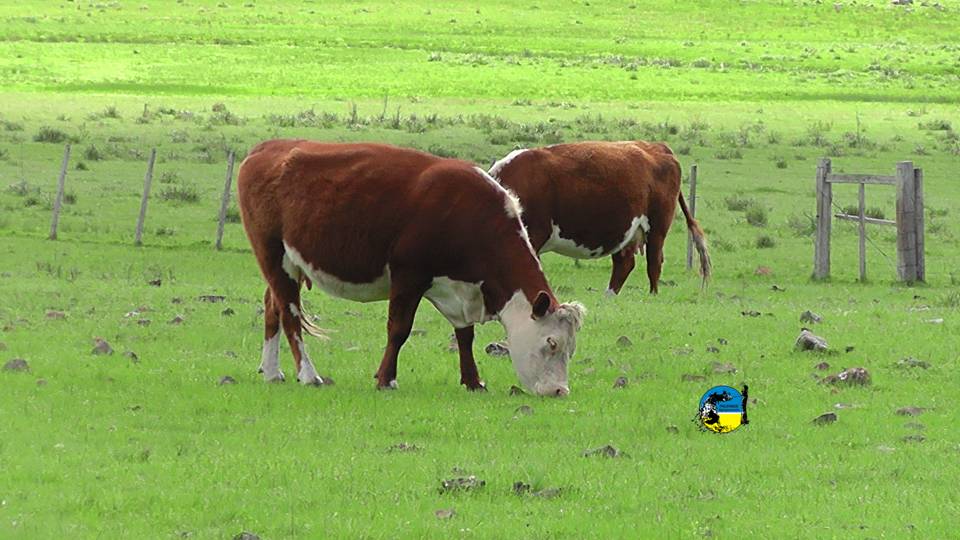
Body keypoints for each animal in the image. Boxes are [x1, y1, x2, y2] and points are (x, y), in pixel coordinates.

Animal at [236, 140, 585, 396]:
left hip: (289, 263)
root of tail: (267, 147)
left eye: (571, 349)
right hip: (273, 255)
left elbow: (465, 335)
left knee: (273, 308)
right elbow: (399, 329)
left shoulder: (461, 289)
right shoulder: (408, 276)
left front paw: (473, 381)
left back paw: (273, 371)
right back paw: (309, 374)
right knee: (290, 315)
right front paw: (385, 379)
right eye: (551, 343)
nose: (559, 391)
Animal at [488, 141, 711, 295]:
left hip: (657, 227)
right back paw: (609, 297)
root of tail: (657, 146)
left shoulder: (534, 234)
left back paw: (652, 296)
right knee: (625, 263)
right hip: (627, 230)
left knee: (653, 263)